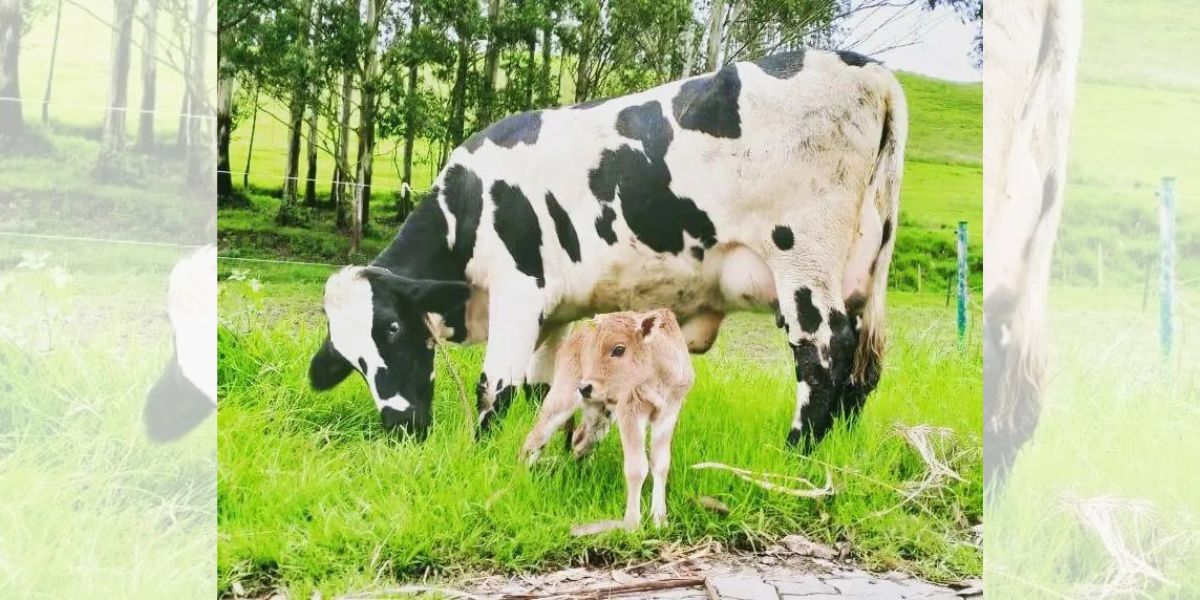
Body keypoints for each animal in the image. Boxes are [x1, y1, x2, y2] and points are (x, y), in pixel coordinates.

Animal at [308, 49, 907, 448]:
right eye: (351, 360)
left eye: (391, 327)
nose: (401, 426)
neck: (468, 204)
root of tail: (868, 69)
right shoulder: (553, 311)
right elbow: (544, 387)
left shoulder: (518, 291)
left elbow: (494, 386)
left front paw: (479, 455)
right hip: (864, 269)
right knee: (864, 362)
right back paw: (836, 451)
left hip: (801, 261)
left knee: (824, 350)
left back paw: (796, 453)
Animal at [521, 309, 693, 532]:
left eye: (619, 349)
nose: (585, 387)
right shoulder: (630, 411)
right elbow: (636, 468)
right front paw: (632, 523)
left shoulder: (668, 414)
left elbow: (660, 464)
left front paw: (659, 520)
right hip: (562, 399)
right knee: (535, 437)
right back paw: (521, 479)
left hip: (600, 417)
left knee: (580, 442)